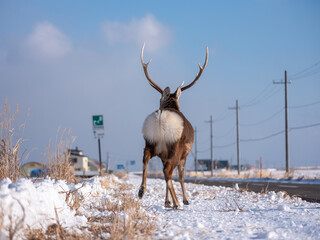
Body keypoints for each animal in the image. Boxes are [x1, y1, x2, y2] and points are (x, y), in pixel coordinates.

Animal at [138, 44, 209, 209]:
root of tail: (161, 118)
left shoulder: (162, 155)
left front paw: (167, 201)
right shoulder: (185, 155)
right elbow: (181, 176)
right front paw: (185, 200)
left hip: (150, 142)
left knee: (147, 158)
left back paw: (142, 191)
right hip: (175, 146)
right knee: (168, 171)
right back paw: (177, 203)